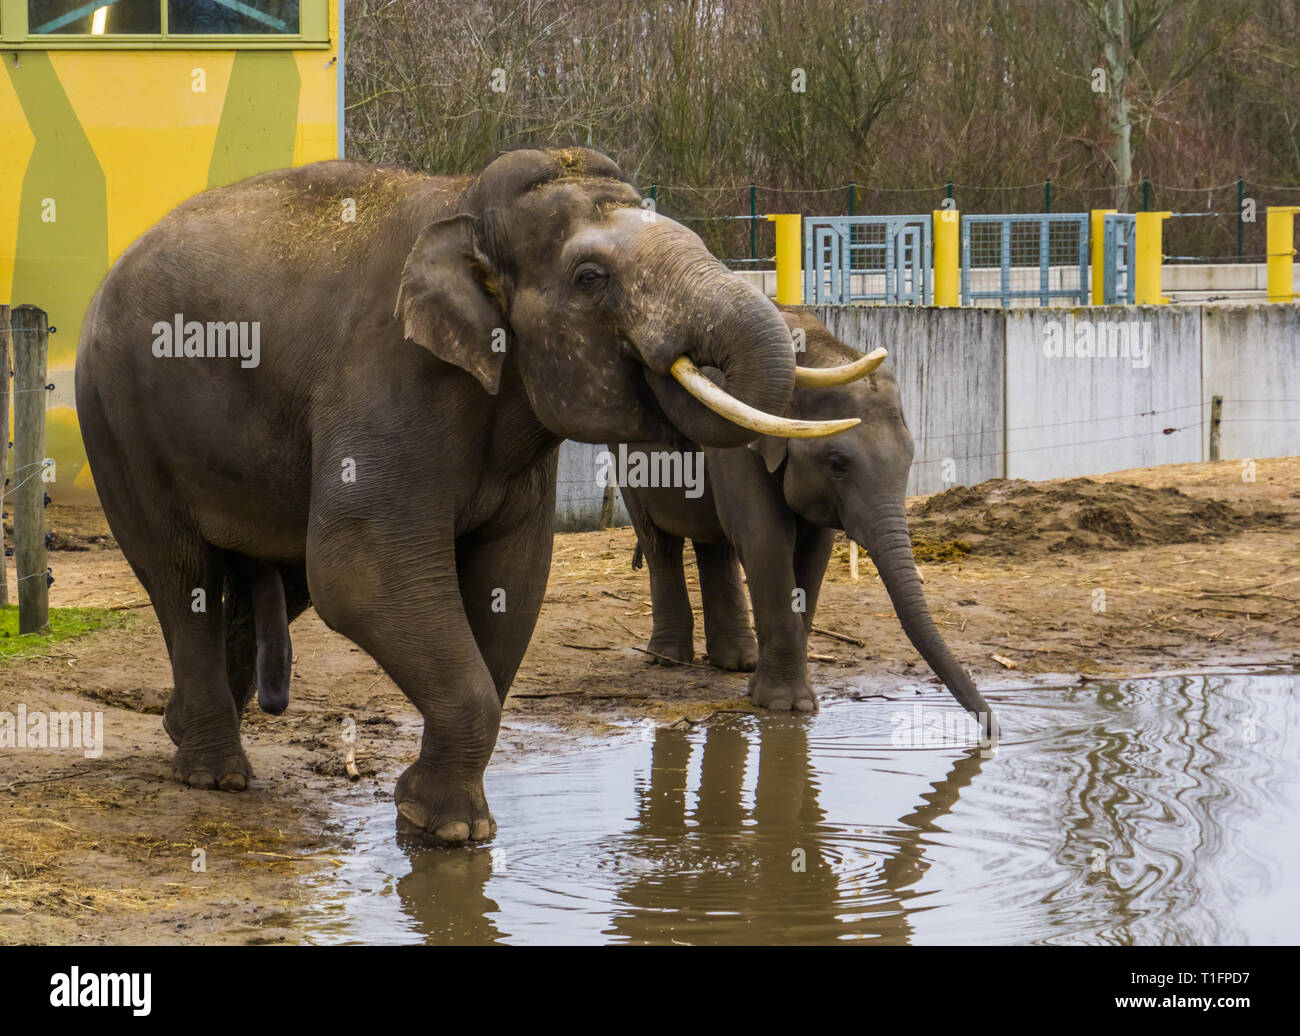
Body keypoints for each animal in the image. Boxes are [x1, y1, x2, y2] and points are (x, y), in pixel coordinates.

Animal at [76, 147, 857, 842]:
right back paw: (216, 775)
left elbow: (514, 579)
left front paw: (443, 819)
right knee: (183, 574)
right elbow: (360, 573)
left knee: (275, 578)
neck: (467, 208)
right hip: (118, 421)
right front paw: (445, 829)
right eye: (591, 277)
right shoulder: (388, 377)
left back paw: (183, 730)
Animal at [618, 306, 993, 727]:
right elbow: (765, 538)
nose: (991, 727)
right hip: (625, 453)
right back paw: (667, 659)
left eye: (909, 458)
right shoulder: (739, 441)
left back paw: (738, 663)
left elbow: (814, 553)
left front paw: (776, 697)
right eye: (837, 465)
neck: (816, 353)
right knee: (659, 543)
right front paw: (785, 706)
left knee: (716, 545)